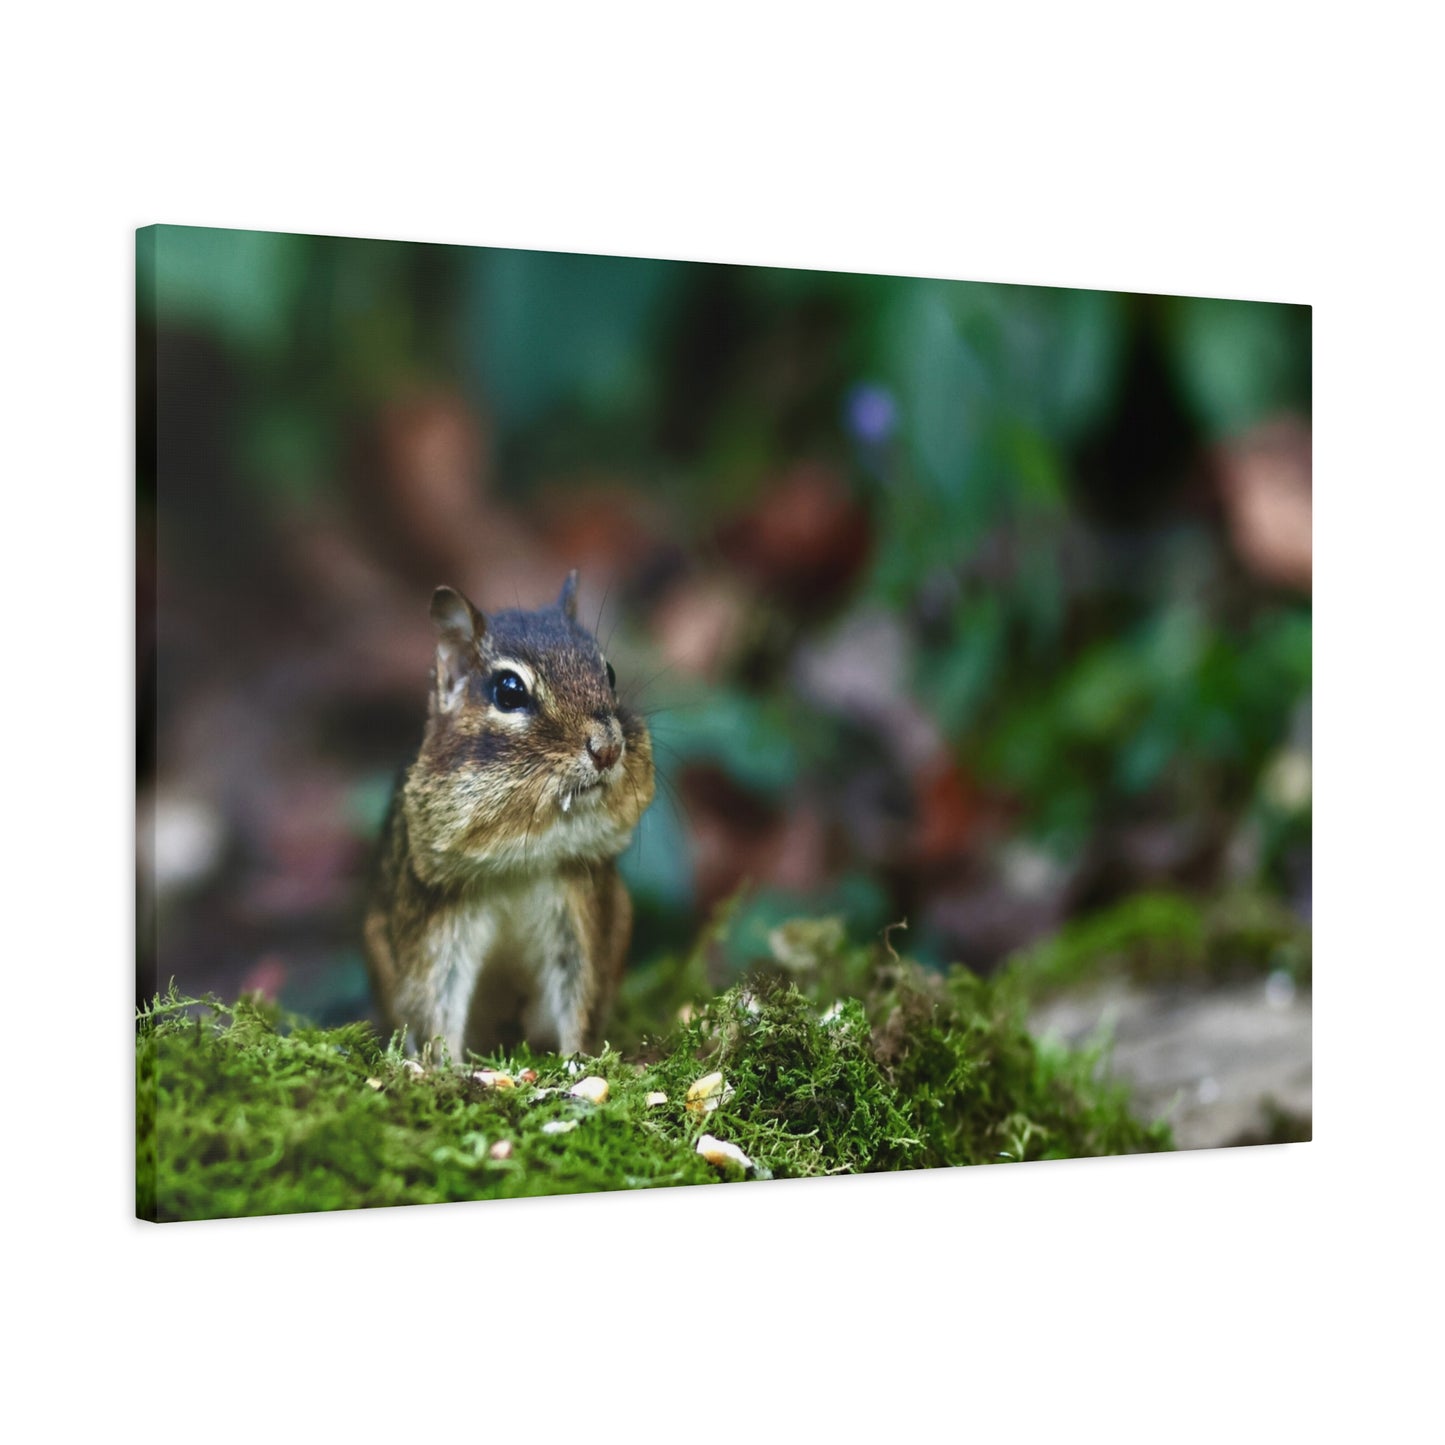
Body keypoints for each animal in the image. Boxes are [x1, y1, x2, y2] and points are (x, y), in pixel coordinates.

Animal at [363, 572, 654, 1062]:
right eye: (509, 690)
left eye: (610, 673)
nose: (608, 748)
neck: (523, 860)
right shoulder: (437, 921)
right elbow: (434, 999)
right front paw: (442, 1067)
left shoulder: (581, 908)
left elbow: (582, 991)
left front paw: (580, 1062)